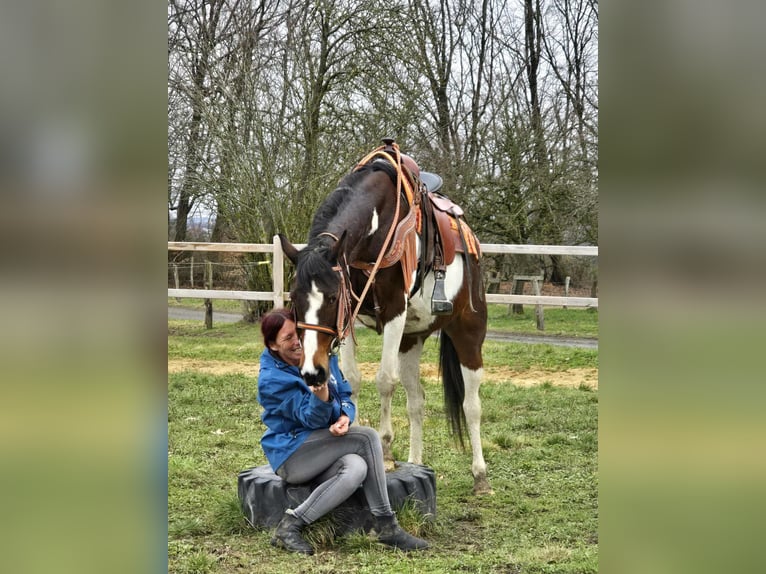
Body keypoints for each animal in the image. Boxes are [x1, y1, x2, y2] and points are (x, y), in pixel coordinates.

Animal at [279, 139, 492, 495]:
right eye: (294, 299)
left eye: (332, 297)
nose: (311, 372)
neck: (374, 233)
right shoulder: (350, 318)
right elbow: (352, 379)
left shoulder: (394, 310)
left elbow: (384, 380)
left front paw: (387, 452)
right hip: (411, 340)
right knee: (416, 400)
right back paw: (416, 462)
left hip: (468, 333)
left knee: (471, 405)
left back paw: (480, 476)